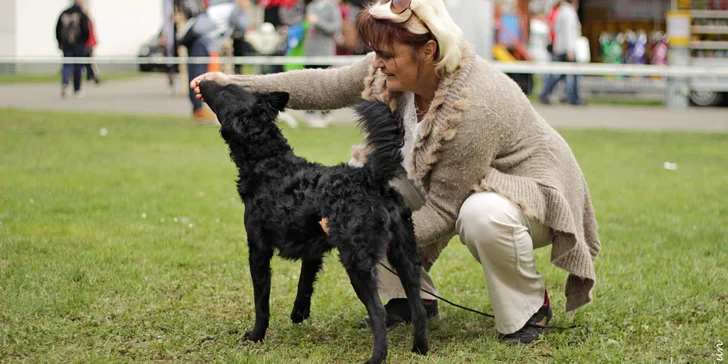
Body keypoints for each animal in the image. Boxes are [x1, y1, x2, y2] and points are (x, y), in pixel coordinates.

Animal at [196, 81, 430, 362]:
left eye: (222, 92)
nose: (202, 83)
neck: (269, 163)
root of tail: (371, 178)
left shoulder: (258, 250)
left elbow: (261, 301)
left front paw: (256, 335)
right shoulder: (313, 249)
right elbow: (304, 281)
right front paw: (299, 313)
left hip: (357, 262)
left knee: (379, 312)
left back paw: (377, 357)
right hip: (405, 256)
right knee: (419, 309)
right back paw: (420, 349)